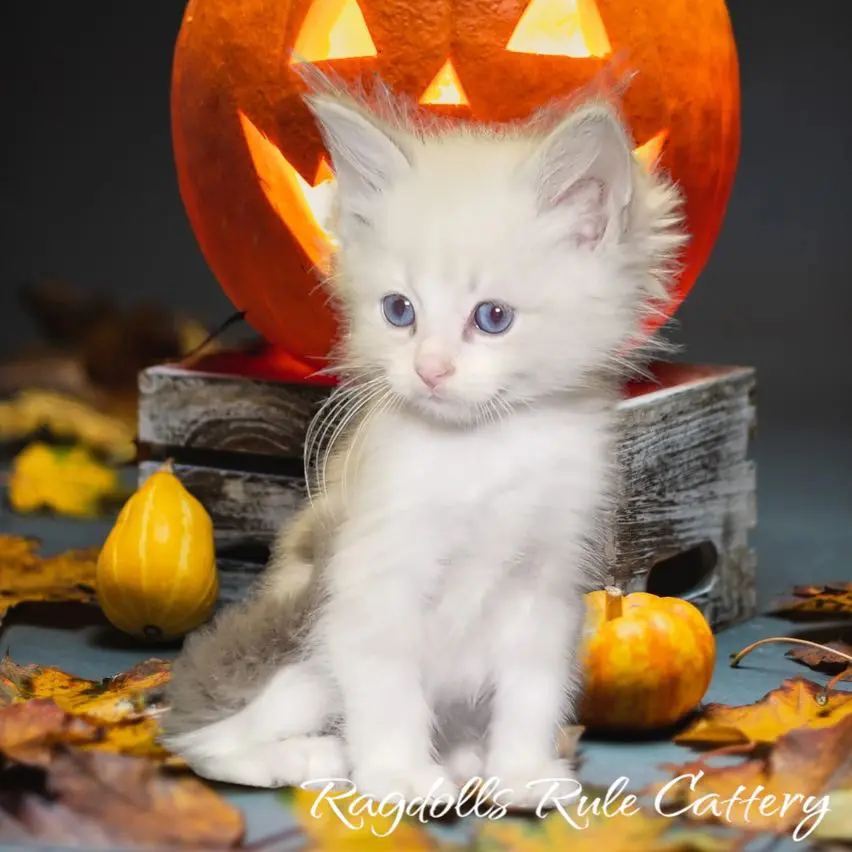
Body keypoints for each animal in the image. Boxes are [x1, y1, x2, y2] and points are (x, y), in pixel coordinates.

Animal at [161, 75, 684, 804]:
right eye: (398, 311)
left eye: (492, 318)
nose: (429, 370)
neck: (486, 451)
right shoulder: (371, 578)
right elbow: (387, 689)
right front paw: (400, 774)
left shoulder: (546, 585)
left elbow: (531, 690)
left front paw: (520, 773)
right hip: (292, 642)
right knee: (202, 739)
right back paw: (310, 757)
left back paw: (464, 758)